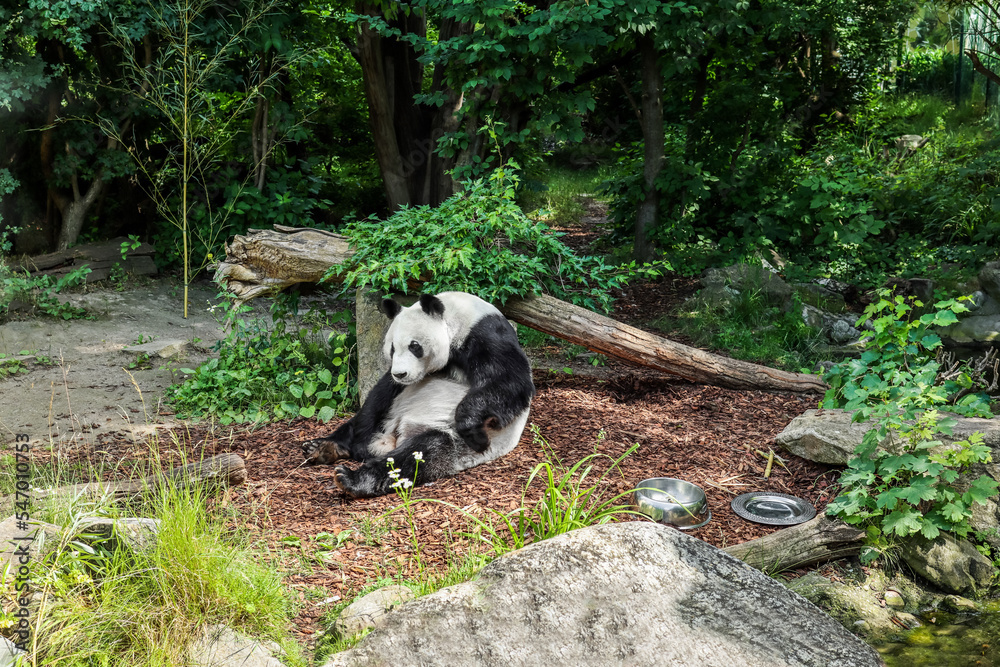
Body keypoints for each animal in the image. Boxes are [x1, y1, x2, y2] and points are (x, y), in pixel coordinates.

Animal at [302, 290, 540, 498]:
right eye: (392, 348)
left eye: (414, 346)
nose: (400, 373)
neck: (457, 317)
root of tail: (392, 440)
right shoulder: (399, 383)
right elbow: (380, 393)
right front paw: (358, 439)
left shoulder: (487, 336)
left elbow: (508, 382)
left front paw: (475, 431)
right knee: (358, 422)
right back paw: (323, 447)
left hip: (448, 438)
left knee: (419, 454)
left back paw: (351, 478)